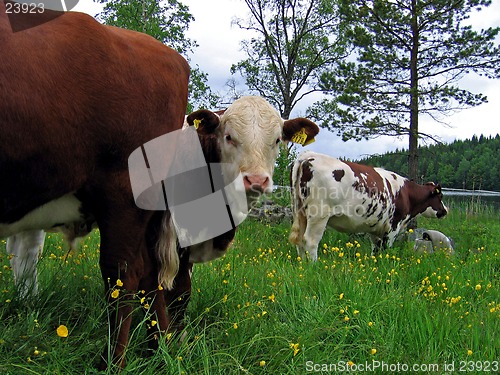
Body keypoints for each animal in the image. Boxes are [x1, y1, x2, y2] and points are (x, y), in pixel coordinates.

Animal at [290, 151, 450, 260]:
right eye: (440, 196)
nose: (445, 210)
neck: (406, 194)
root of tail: (308, 155)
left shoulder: (376, 227)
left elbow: (376, 250)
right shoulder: (393, 226)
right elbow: (385, 250)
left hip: (301, 212)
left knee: (300, 240)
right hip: (319, 215)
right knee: (310, 241)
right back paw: (313, 266)